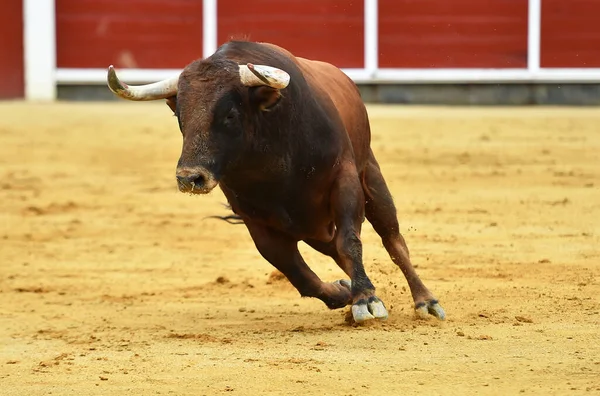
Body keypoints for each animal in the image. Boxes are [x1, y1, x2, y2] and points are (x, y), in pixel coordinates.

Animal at [108, 41, 446, 324]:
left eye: (230, 114)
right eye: (180, 115)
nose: (190, 177)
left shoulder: (345, 180)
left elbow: (351, 242)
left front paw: (365, 299)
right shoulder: (254, 219)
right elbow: (295, 271)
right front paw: (344, 292)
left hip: (371, 179)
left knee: (393, 241)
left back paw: (426, 302)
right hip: (313, 227)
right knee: (333, 249)